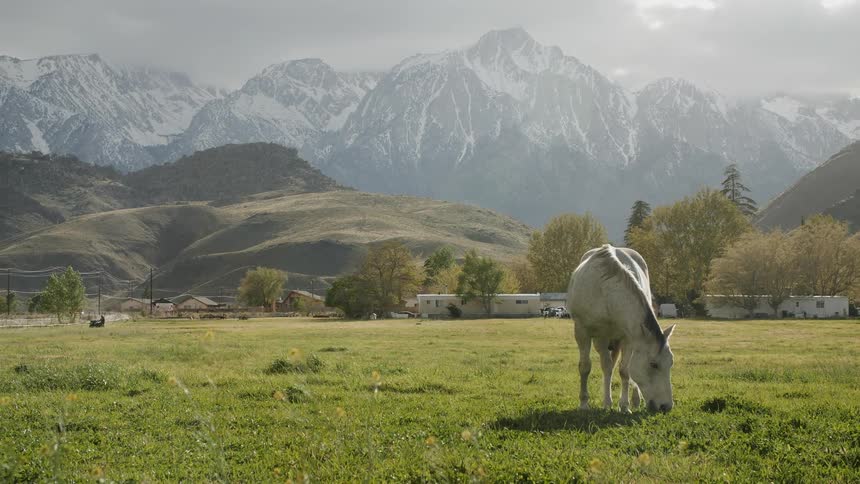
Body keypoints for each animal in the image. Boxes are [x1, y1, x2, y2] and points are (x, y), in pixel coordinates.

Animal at [566, 244, 676, 413]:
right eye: (653, 364)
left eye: (671, 362)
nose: (666, 406)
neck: (606, 292)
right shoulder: (584, 332)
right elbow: (587, 367)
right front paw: (585, 404)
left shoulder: (629, 338)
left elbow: (625, 371)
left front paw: (624, 406)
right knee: (607, 366)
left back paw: (635, 400)